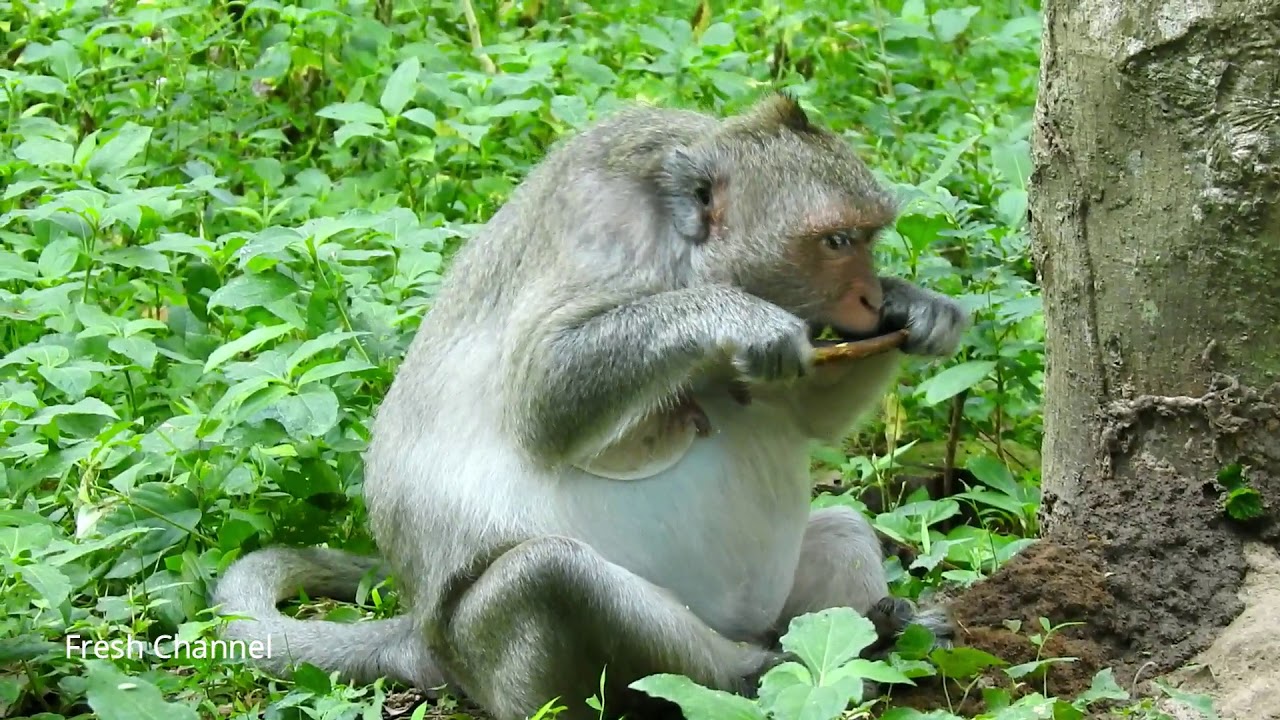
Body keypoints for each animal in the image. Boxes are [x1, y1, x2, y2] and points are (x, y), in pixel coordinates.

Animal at [212, 93, 969, 720]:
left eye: (868, 239)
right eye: (837, 241)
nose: (868, 295)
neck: (681, 248)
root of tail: (424, 639)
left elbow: (808, 415)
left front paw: (917, 307)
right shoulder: (606, 229)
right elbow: (543, 394)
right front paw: (735, 315)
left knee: (841, 530)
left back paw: (865, 646)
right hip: (498, 663)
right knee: (549, 577)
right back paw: (758, 676)